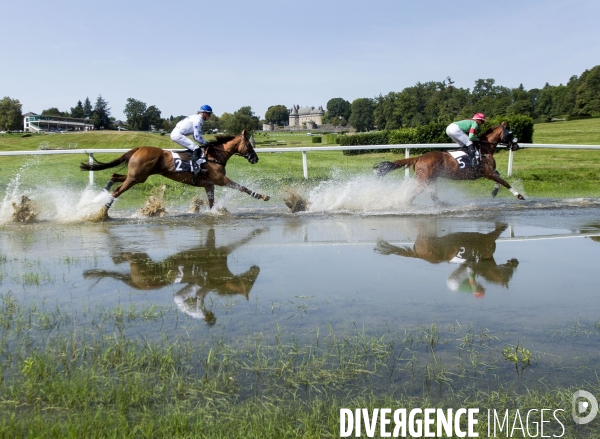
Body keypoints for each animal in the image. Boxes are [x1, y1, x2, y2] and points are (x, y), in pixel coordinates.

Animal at [79, 130, 270, 211]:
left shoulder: (209, 184)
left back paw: (95, 198)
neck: (214, 155)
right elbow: (242, 188)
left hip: (137, 176)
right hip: (136, 177)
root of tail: (138, 148)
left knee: (114, 176)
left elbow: (211, 202)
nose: (256, 158)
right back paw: (102, 211)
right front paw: (263, 196)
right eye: (249, 144)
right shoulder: (220, 180)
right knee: (118, 191)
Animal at [372, 123, 524, 205]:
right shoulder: (487, 172)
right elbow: (504, 182)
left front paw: (494, 192)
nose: (516, 145)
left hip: (432, 179)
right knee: (414, 194)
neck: (484, 149)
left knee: (434, 196)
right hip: (424, 180)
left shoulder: (490, 172)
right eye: (511, 133)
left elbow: (499, 179)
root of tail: (419, 158)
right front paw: (519, 195)